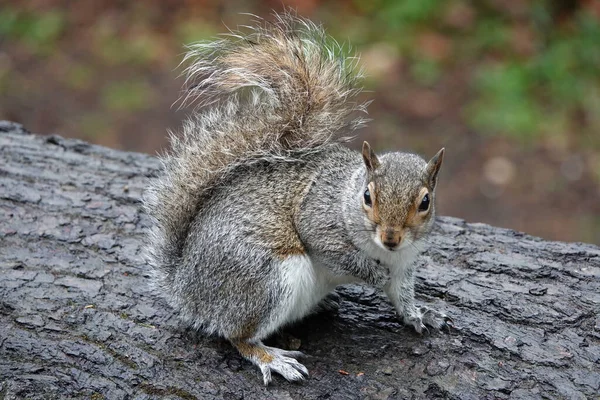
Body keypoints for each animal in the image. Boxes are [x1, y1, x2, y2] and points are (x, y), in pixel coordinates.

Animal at [143, 11, 448, 384]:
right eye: (367, 196)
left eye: (425, 202)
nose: (391, 238)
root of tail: (186, 287)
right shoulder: (318, 218)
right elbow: (337, 253)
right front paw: (372, 275)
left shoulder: (405, 263)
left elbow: (402, 295)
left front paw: (420, 314)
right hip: (266, 280)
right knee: (236, 335)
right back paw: (271, 357)